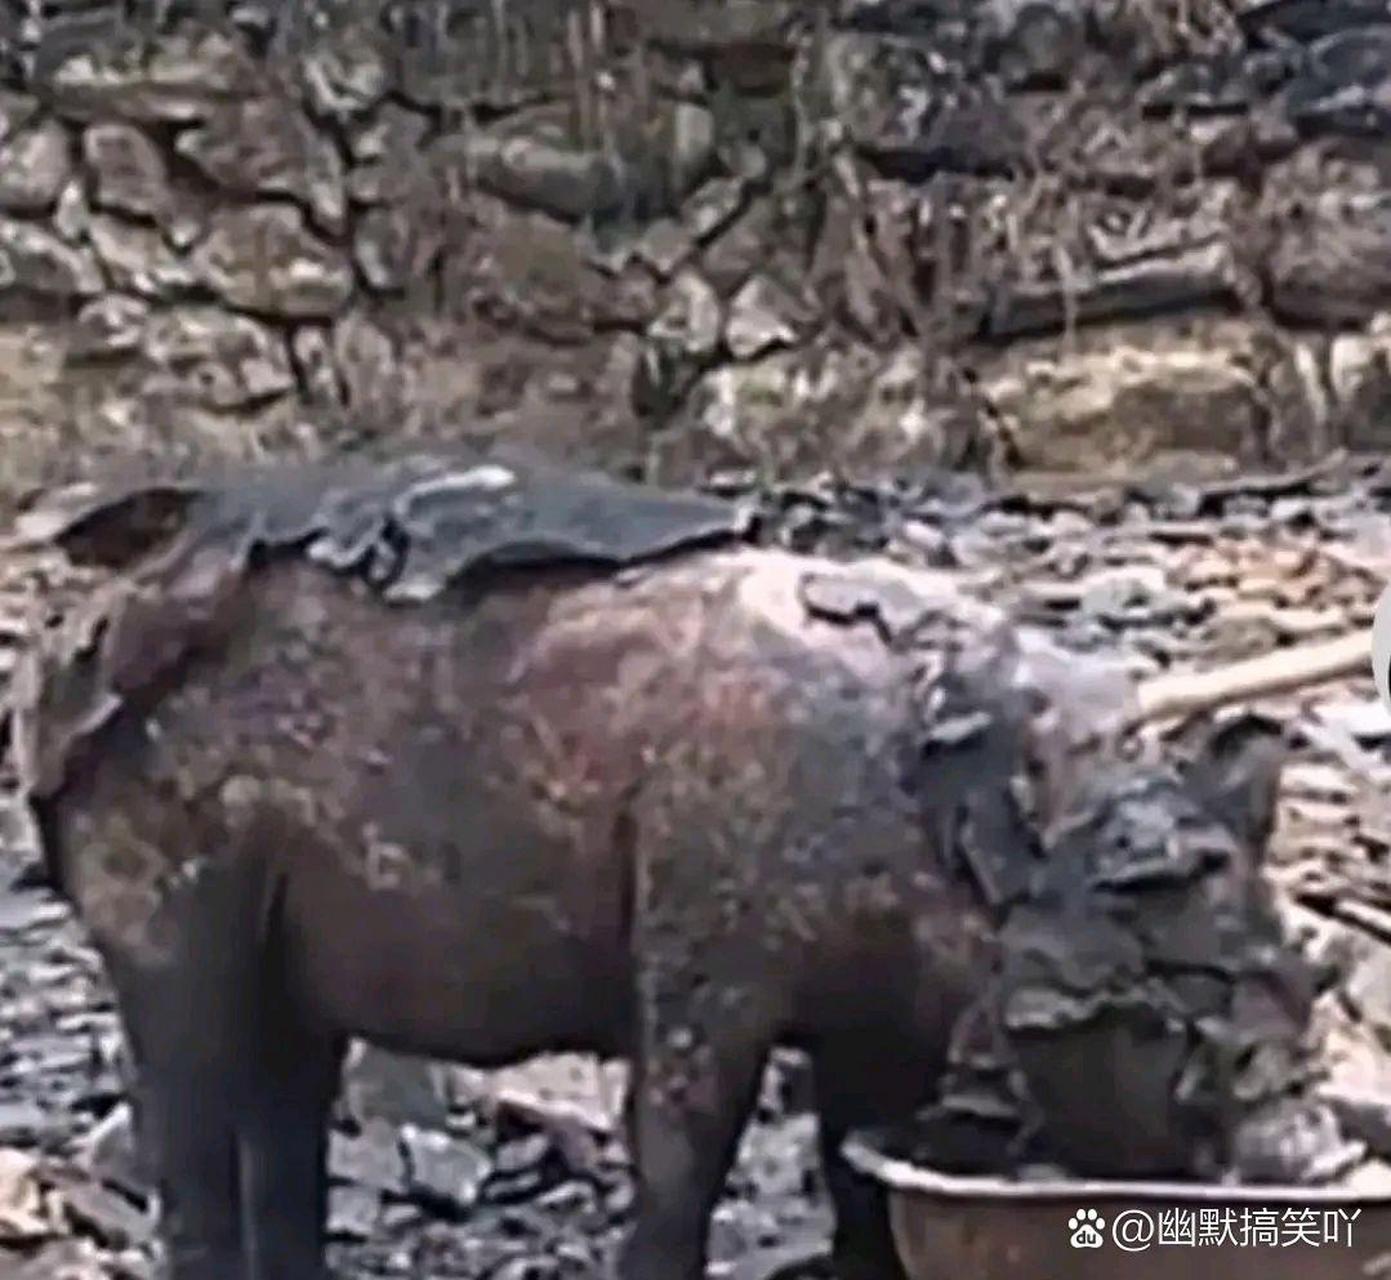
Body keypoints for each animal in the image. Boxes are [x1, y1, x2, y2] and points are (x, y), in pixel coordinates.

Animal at [8, 453, 1290, 1280]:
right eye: (1164, 989)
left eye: (1295, 962)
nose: (1284, 1130)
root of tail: (78, 631)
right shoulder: (705, 943)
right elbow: (683, 1144)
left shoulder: (873, 1017)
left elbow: (855, 1167)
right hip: (169, 908)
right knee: (186, 1121)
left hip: (293, 962)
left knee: (286, 1120)